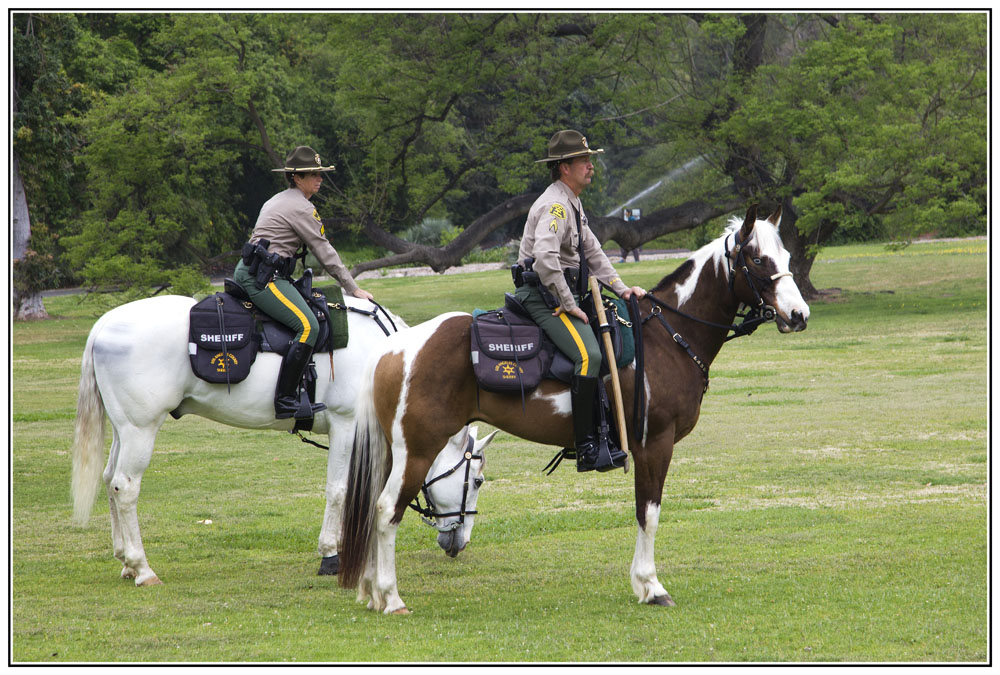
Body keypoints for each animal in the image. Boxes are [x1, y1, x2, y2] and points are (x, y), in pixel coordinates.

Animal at [69, 294, 492, 588]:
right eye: (477, 480)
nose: (460, 542)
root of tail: (105, 324)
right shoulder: (347, 427)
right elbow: (339, 490)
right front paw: (331, 554)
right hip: (141, 430)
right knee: (125, 487)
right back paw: (141, 567)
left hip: (126, 430)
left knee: (109, 480)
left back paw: (125, 560)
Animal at [340, 205, 808, 612]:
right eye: (758, 259)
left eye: (785, 256)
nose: (799, 314)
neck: (667, 336)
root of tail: (394, 348)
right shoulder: (655, 444)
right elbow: (648, 514)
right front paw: (651, 586)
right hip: (417, 451)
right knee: (386, 511)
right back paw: (391, 597)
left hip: (395, 453)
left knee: (372, 509)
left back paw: (371, 590)